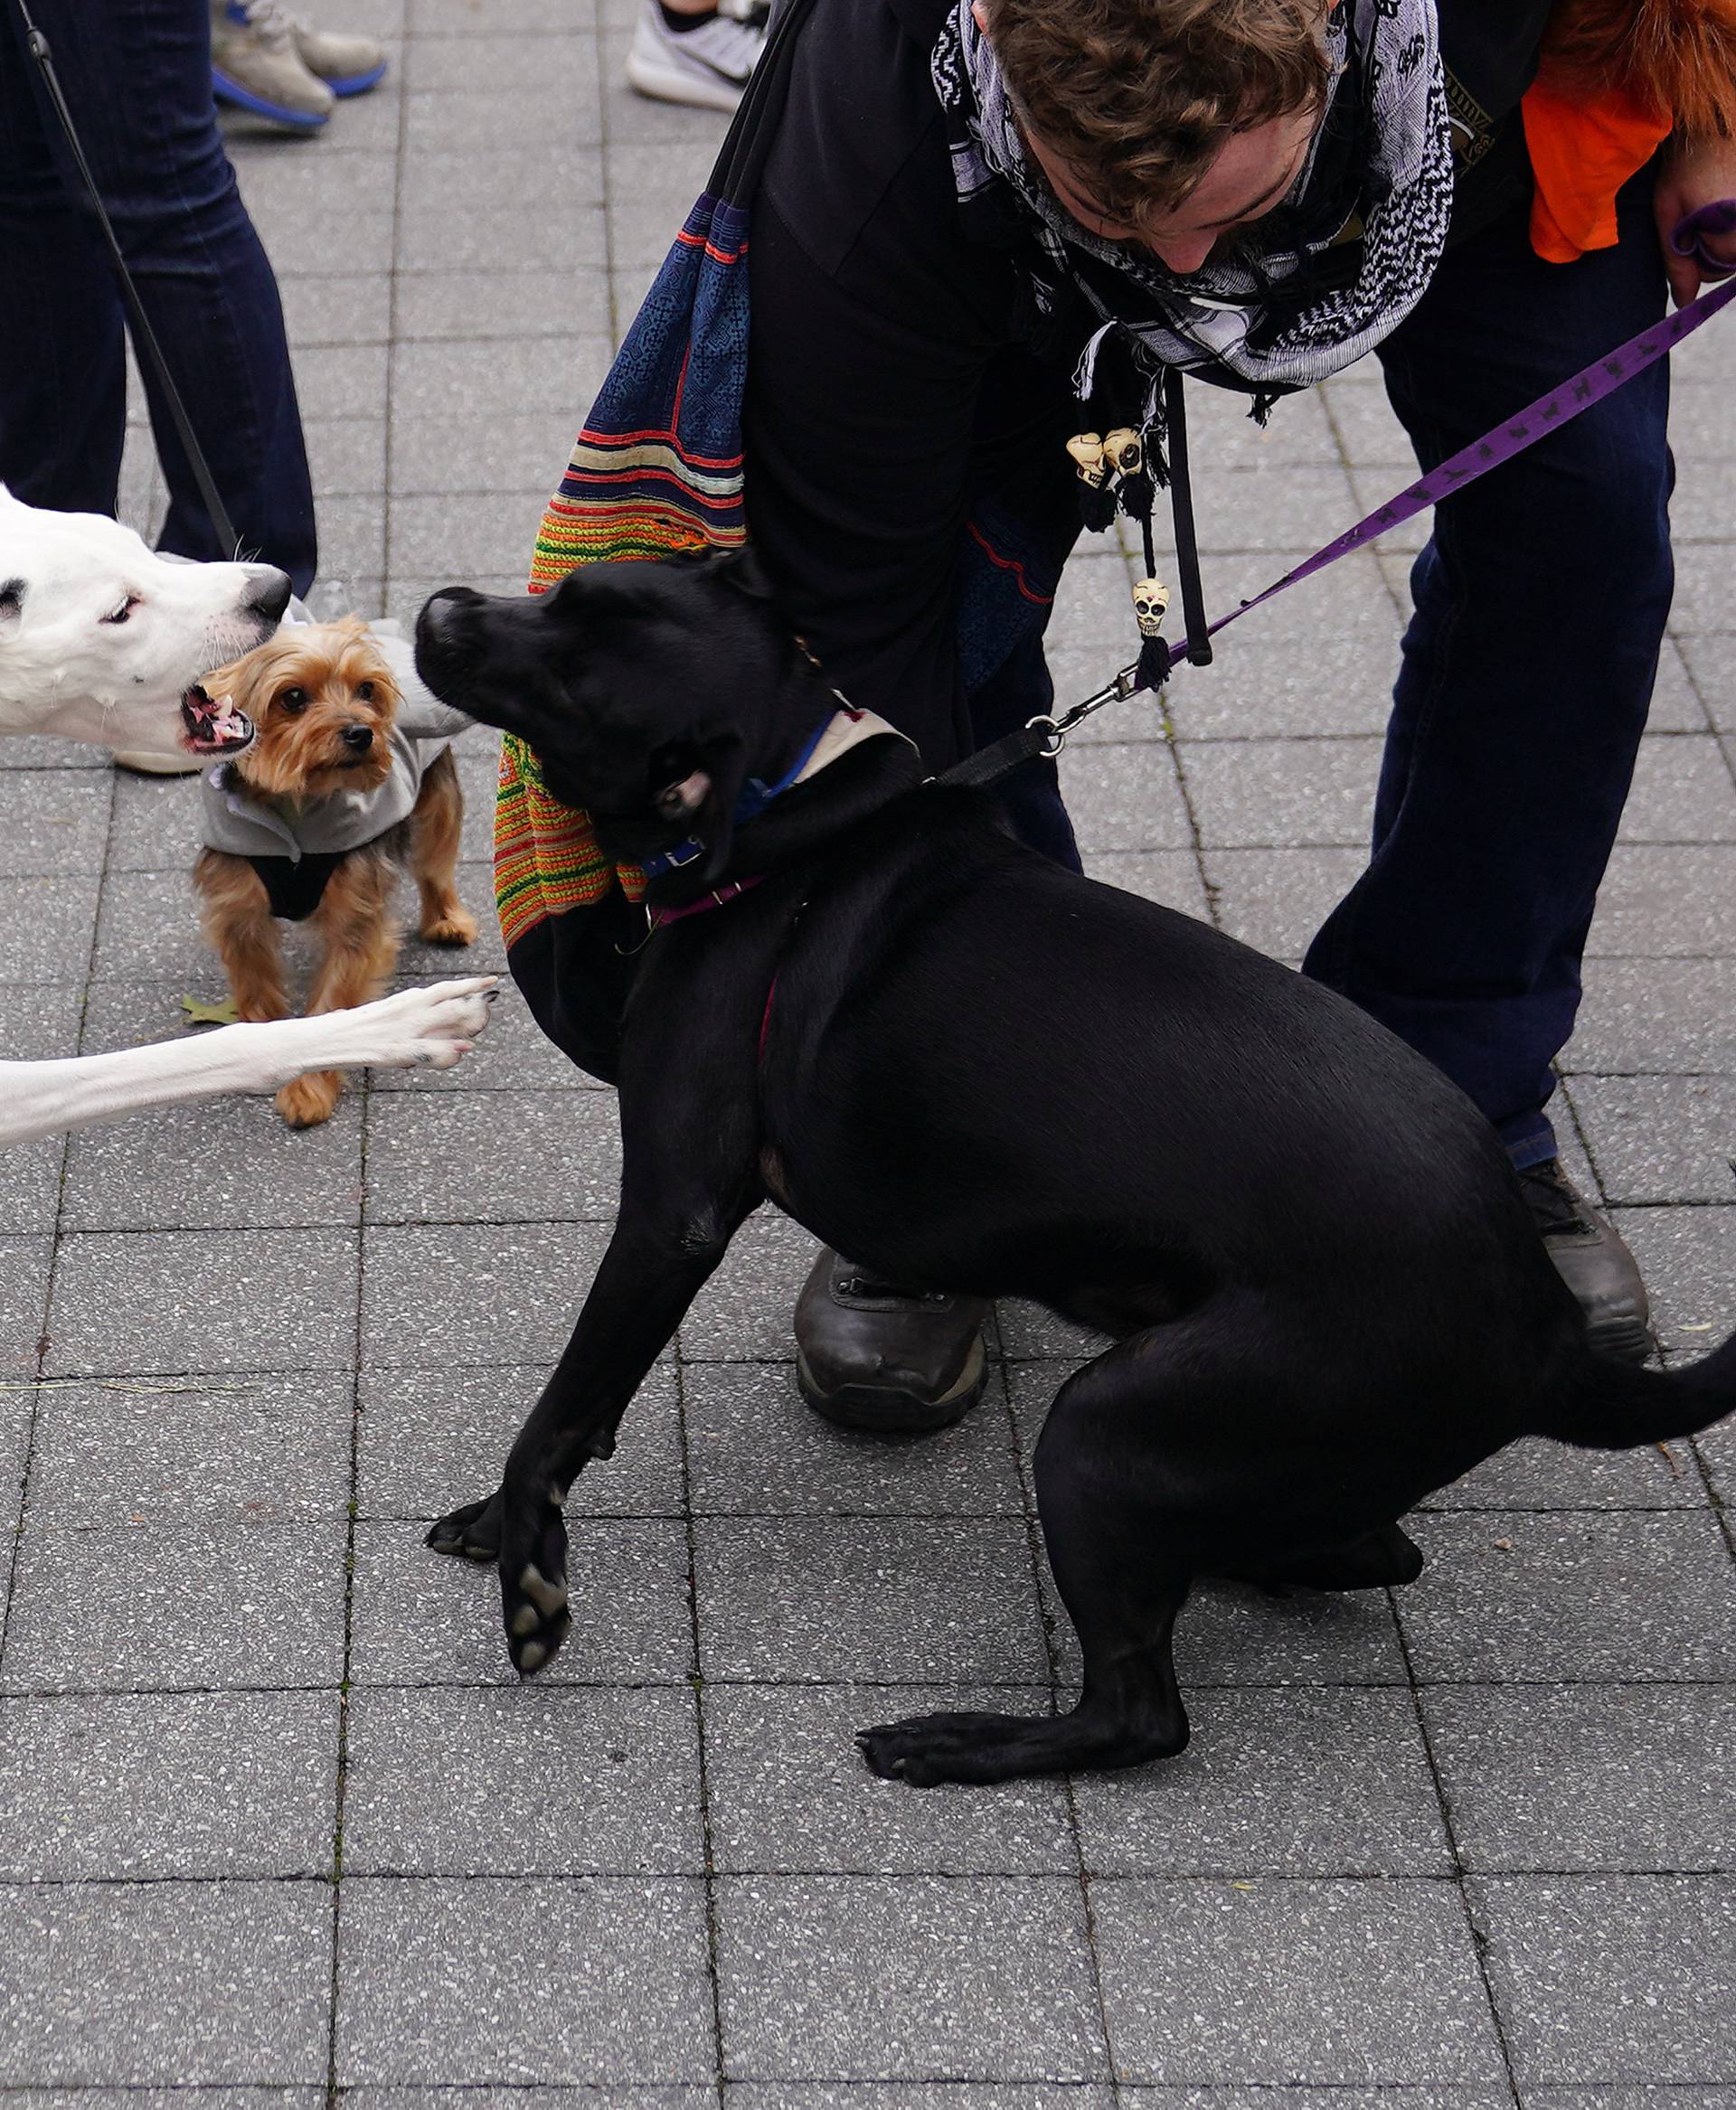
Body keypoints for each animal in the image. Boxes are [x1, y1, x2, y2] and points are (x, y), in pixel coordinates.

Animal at [193, 616, 478, 1131]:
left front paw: (308, 1088)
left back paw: (447, 920)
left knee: (436, 859)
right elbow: (255, 979)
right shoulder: (237, 909)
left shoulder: (356, 911)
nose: (362, 733)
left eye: (366, 689)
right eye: (292, 698)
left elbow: (335, 997)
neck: (296, 807)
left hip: (436, 789)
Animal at [410, 557, 1736, 1780]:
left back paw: (963, 1741)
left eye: (573, 678)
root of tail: (1542, 1322)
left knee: (1142, 1716)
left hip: (1107, 1428)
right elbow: (592, 1405)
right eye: (561, 593)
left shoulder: (668, 1215)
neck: (790, 808)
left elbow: (563, 1405)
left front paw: (526, 1557)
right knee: (1369, 1549)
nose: (436, 607)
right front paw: (505, 1523)